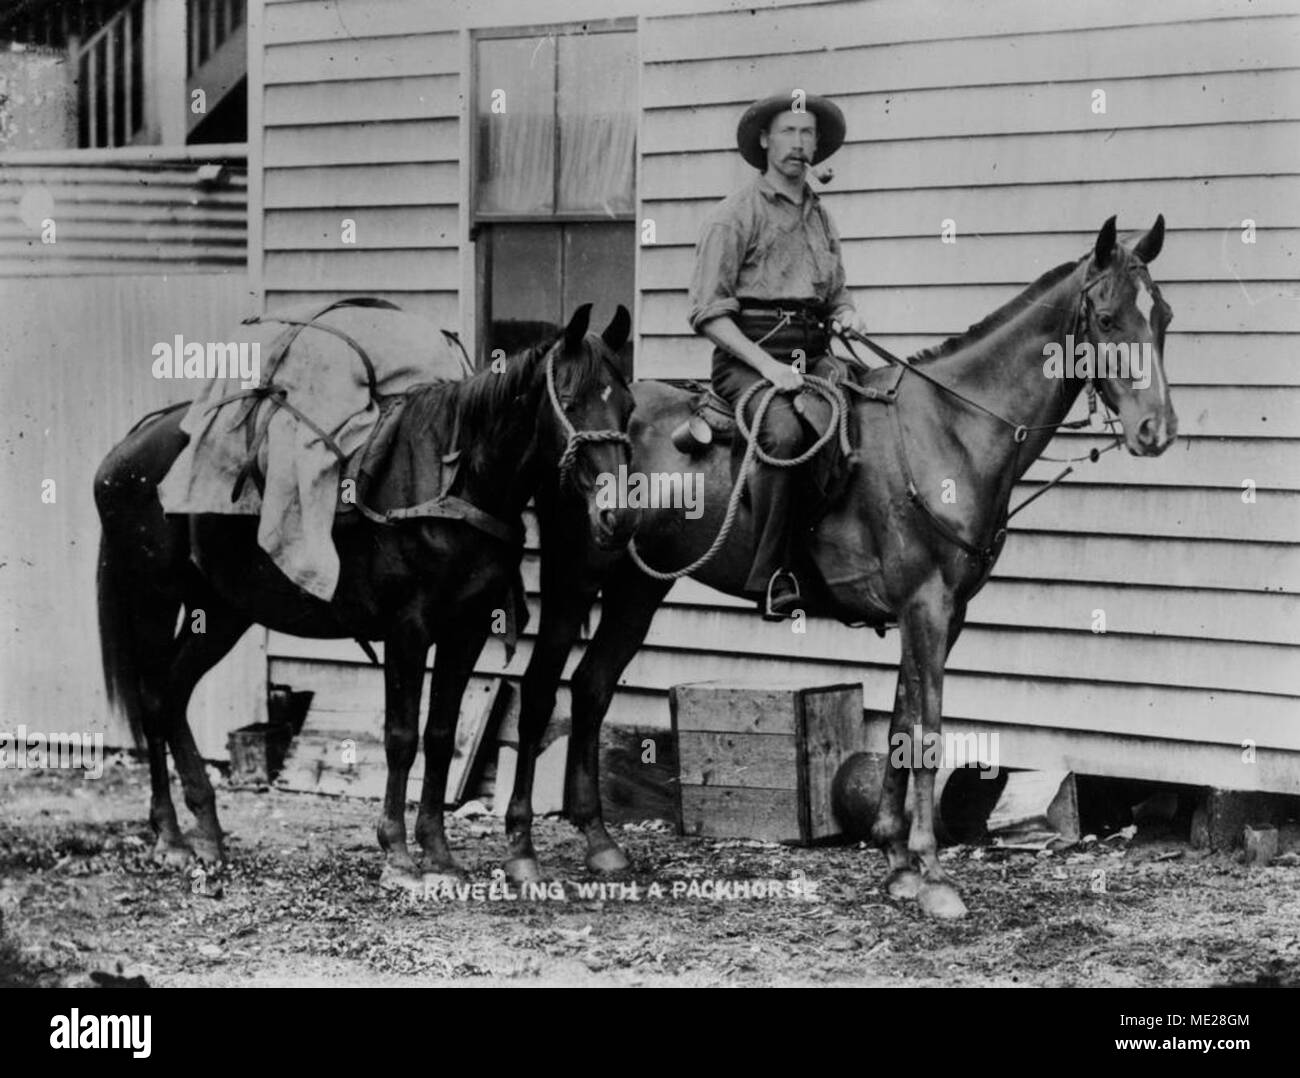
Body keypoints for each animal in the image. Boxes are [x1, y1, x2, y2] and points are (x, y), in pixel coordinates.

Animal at [94, 300, 634, 884]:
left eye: (627, 406)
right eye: (572, 401)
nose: (618, 517)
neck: (454, 482)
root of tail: (124, 454)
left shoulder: (465, 630)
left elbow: (440, 735)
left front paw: (438, 852)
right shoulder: (407, 629)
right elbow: (401, 738)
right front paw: (396, 852)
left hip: (218, 610)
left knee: (173, 695)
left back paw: (208, 833)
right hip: (154, 597)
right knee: (153, 699)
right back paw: (170, 836)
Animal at [506, 214, 1180, 910]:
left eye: (1163, 317)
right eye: (1106, 318)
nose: (1156, 430)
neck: (951, 430)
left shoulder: (945, 612)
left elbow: (902, 725)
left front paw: (897, 859)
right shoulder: (926, 604)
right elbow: (928, 733)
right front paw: (933, 875)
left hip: (637, 588)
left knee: (591, 688)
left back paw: (600, 841)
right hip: (573, 577)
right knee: (540, 690)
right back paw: (522, 850)